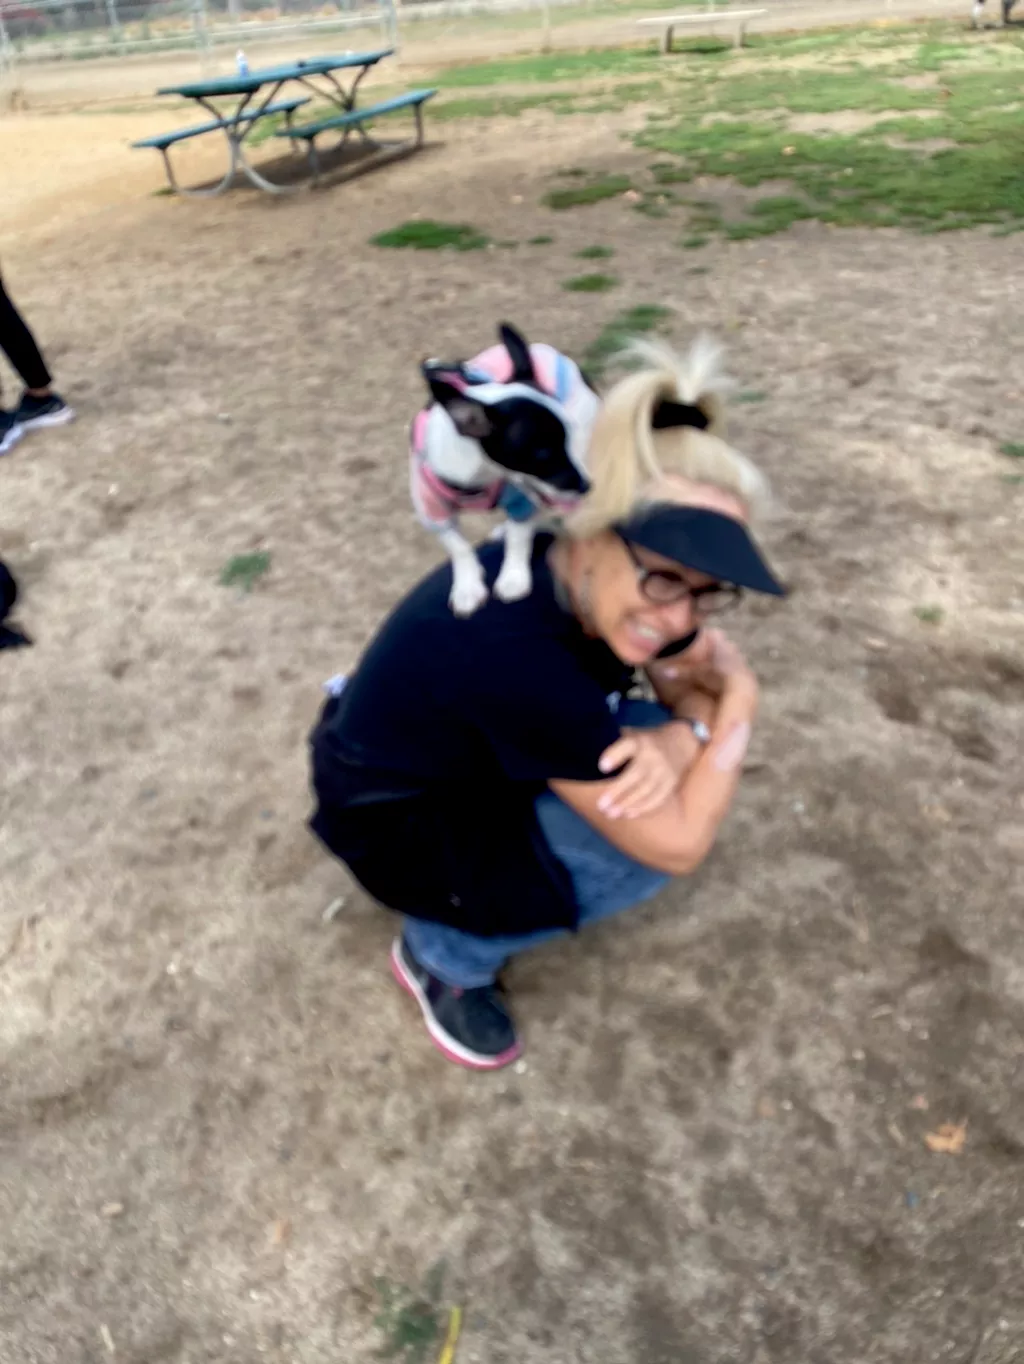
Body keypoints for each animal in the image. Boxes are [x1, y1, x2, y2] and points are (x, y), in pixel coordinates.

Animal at [410, 322, 600, 616]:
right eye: (543, 454)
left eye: (566, 441)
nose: (585, 486)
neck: (480, 476)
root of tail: (544, 349)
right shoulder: (434, 511)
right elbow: (458, 546)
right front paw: (467, 586)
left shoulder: (520, 501)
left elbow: (518, 538)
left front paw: (513, 577)